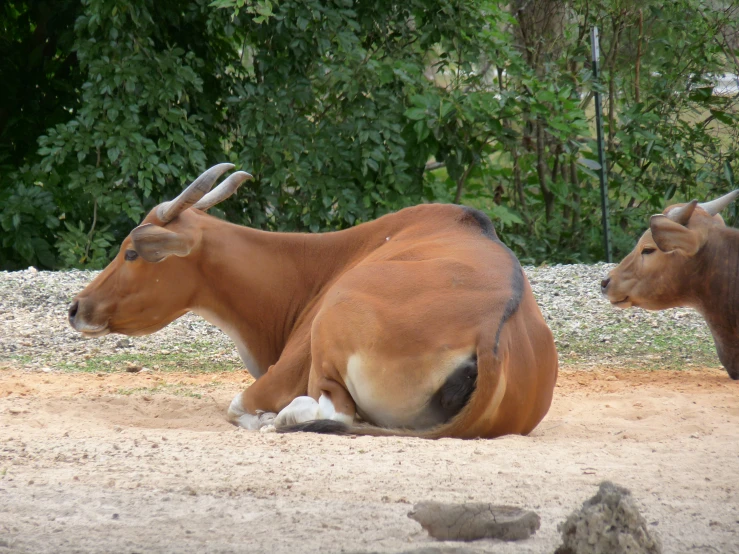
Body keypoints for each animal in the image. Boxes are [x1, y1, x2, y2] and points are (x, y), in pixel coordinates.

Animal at [69, 163, 556, 436]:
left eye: (131, 253)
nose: (76, 308)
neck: (317, 267)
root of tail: (491, 332)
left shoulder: (283, 372)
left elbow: (237, 407)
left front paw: (268, 418)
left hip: (331, 328)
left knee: (334, 414)